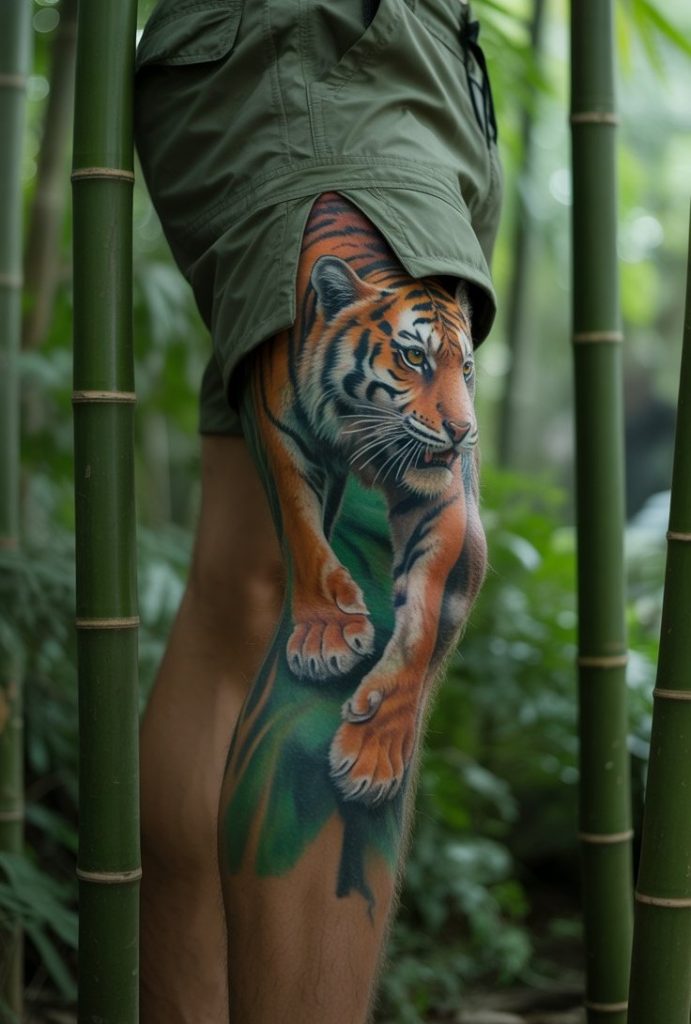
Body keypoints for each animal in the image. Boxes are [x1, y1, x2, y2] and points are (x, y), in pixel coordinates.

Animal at [250, 192, 487, 805]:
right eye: (415, 359)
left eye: (466, 369)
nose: (463, 431)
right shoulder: (281, 438)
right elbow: (305, 536)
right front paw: (326, 635)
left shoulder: (439, 498)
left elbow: (422, 621)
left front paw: (376, 750)